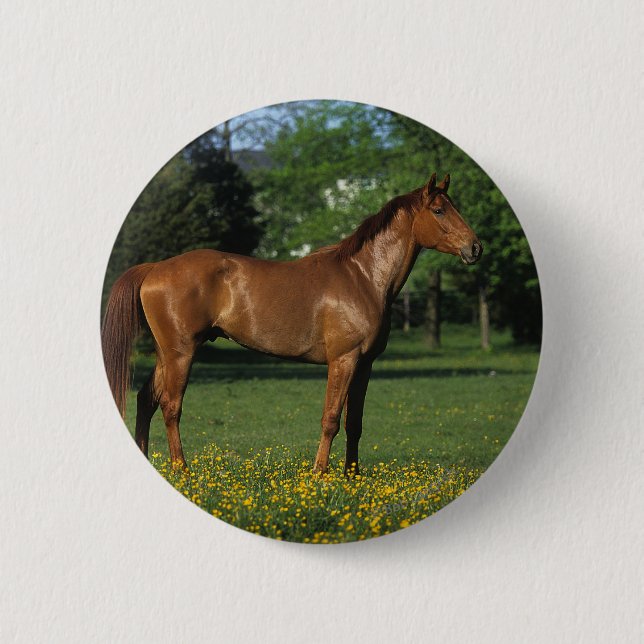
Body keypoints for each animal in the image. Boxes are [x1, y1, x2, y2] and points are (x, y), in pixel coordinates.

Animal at [101, 172, 482, 474]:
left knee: (146, 400)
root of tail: (155, 268)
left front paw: (353, 477)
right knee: (170, 407)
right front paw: (319, 474)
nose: (475, 248)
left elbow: (354, 423)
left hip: (166, 353)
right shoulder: (343, 360)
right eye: (439, 210)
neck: (362, 277)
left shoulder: (365, 365)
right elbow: (331, 420)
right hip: (180, 353)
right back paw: (183, 469)